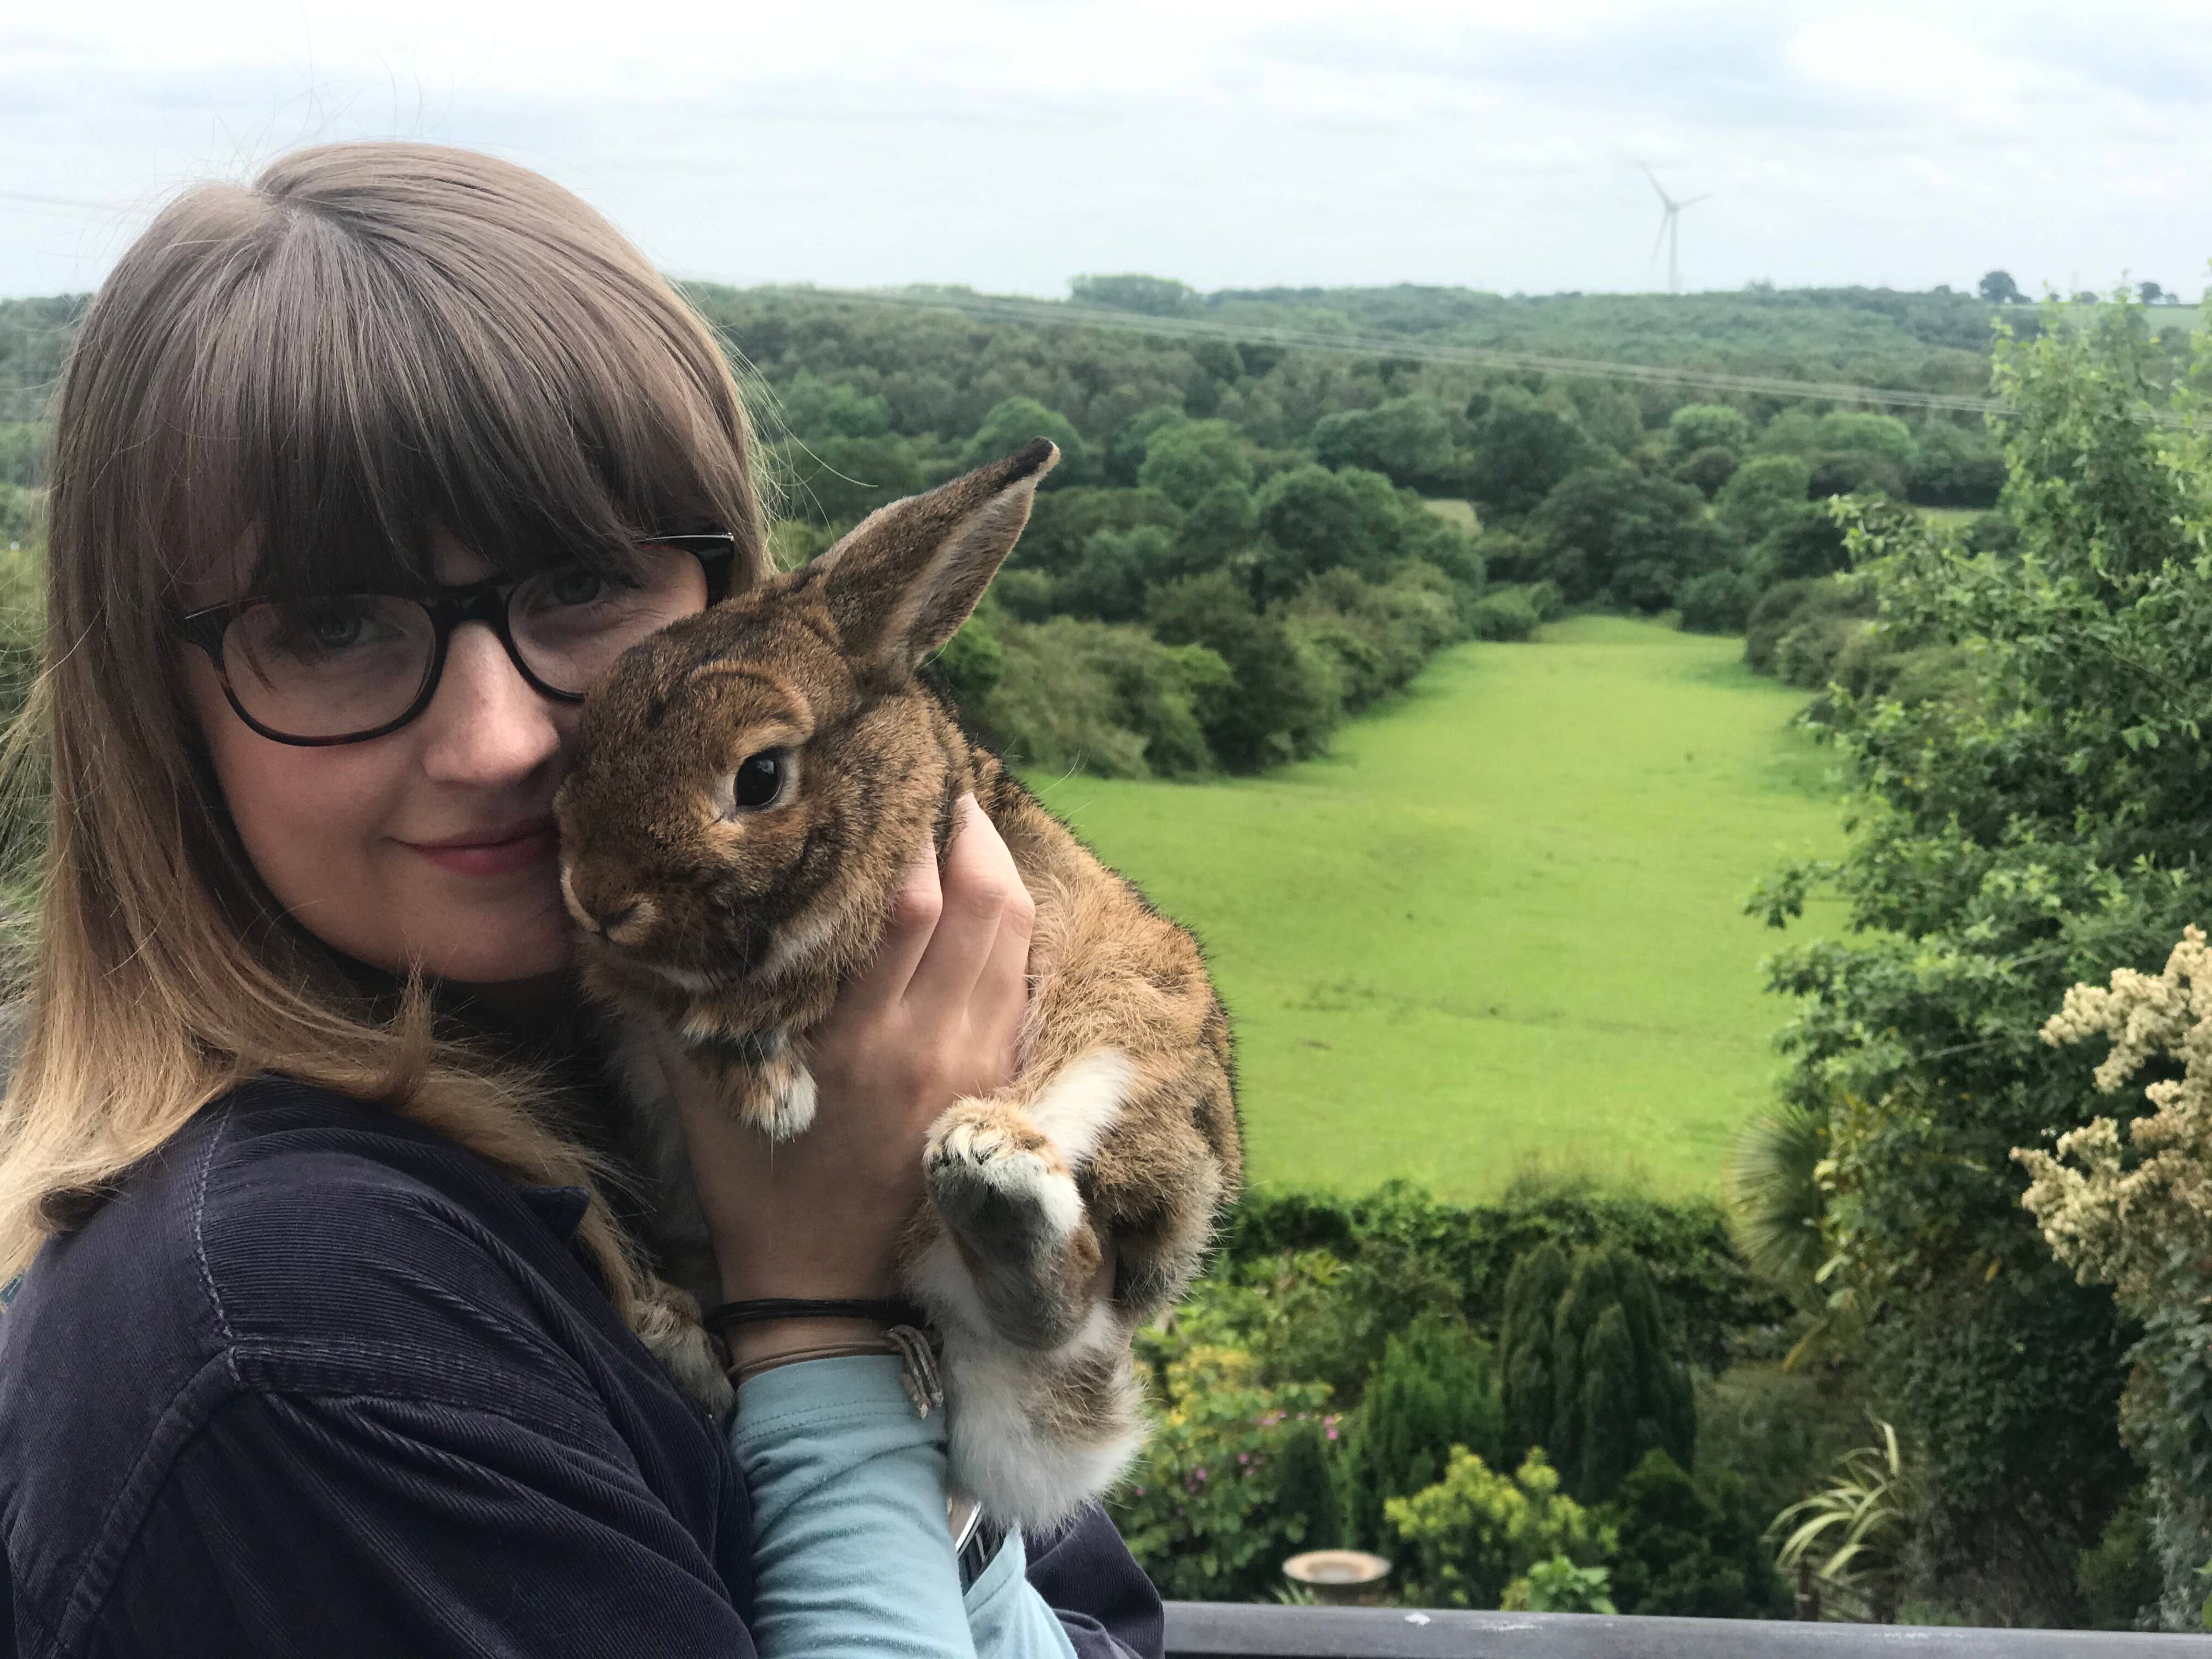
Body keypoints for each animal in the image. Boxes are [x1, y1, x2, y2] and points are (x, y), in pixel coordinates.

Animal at [553, 438, 1248, 1531]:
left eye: (759, 777)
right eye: (591, 723)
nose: (598, 896)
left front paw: (773, 1094)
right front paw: (768, 1082)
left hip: (1132, 1040)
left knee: (1071, 1294)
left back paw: (995, 1181)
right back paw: (673, 1333)